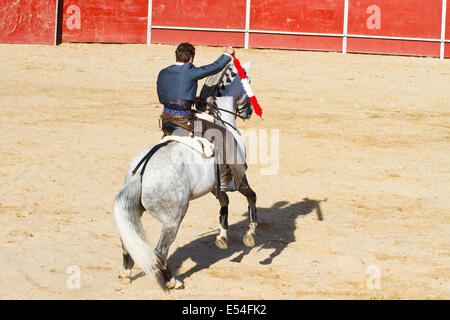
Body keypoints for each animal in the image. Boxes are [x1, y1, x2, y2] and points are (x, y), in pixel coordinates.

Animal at [113, 60, 256, 290]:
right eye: (247, 81)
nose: (249, 111)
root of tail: (140, 174)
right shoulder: (240, 176)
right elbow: (251, 197)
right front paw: (250, 235)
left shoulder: (214, 186)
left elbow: (224, 202)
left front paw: (222, 237)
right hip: (172, 220)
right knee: (160, 251)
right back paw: (172, 282)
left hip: (135, 210)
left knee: (127, 241)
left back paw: (126, 273)